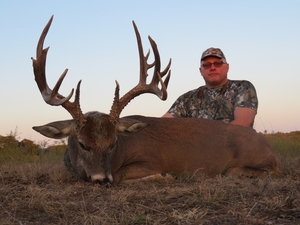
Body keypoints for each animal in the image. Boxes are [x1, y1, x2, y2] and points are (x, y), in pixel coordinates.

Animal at [30, 16, 278, 186]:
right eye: (82, 143)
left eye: (113, 142)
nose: (101, 179)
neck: (123, 149)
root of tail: (268, 146)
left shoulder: (150, 161)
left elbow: (123, 175)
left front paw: (165, 176)